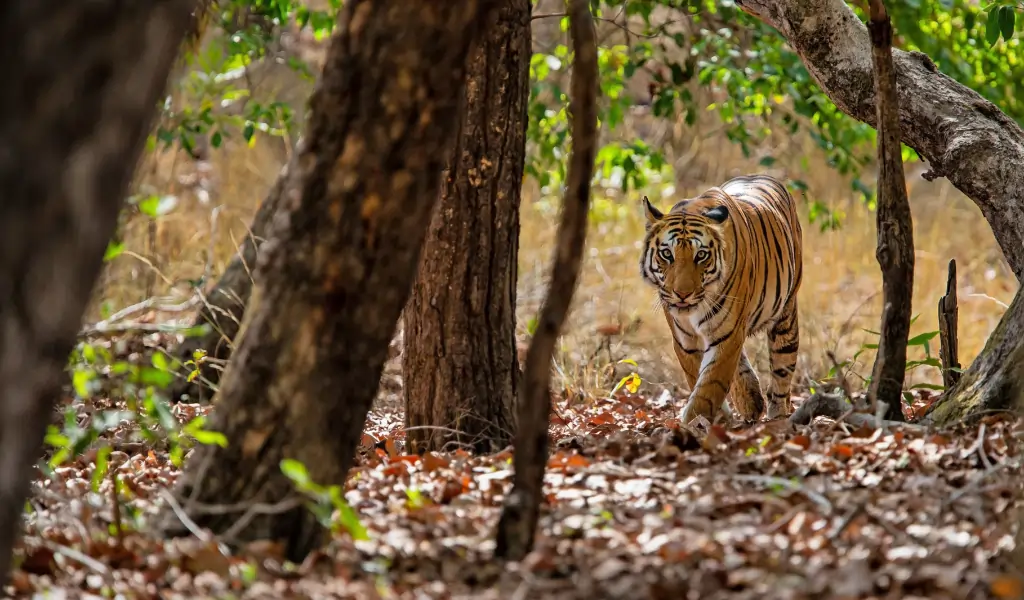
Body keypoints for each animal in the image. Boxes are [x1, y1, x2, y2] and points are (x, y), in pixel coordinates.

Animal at [639, 174, 803, 425]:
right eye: (667, 254)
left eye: (701, 255)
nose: (682, 294)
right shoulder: (686, 341)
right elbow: (699, 378)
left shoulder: (727, 334)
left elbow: (709, 386)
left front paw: (693, 422)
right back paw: (751, 401)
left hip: (785, 318)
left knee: (782, 371)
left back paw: (777, 415)